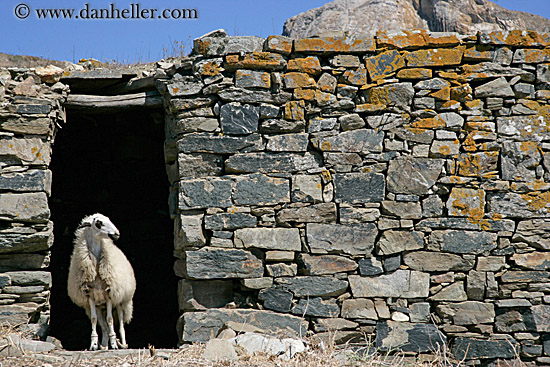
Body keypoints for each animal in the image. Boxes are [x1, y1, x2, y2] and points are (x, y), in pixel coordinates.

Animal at [67, 214, 136, 352]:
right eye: (98, 223)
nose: (117, 234)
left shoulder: (109, 295)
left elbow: (110, 320)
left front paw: (114, 344)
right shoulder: (90, 297)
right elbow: (94, 320)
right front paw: (94, 344)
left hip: (120, 302)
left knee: (120, 323)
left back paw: (122, 344)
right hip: (100, 307)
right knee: (103, 326)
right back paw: (104, 345)